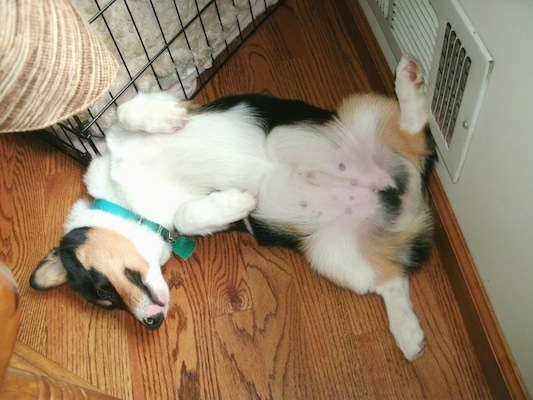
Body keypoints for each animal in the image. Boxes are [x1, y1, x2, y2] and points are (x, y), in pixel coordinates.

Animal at [31, 55, 434, 360]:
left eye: (104, 290)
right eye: (108, 304)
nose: (152, 323)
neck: (130, 200)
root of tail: (406, 191)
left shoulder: (139, 122)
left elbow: (125, 110)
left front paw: (168, 117)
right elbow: (187, 215)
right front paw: (236, 203)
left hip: (359, 115)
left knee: (415, 129)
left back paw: (409, 81)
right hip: (335, 255)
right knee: (391, 280)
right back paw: (408, 333)